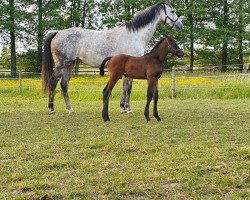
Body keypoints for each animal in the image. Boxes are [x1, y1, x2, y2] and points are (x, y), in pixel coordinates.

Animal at [42, 0, 183, 115]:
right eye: (172, 11)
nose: (180, 26)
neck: (134, 36)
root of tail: (57, 32)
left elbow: (125, 88)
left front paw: (123, 108)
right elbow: (128, 88)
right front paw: (128, 109)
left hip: (69, 64)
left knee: (64, 85)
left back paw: (70, 109)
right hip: (61, 64)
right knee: (53, 82)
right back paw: (52, 109)